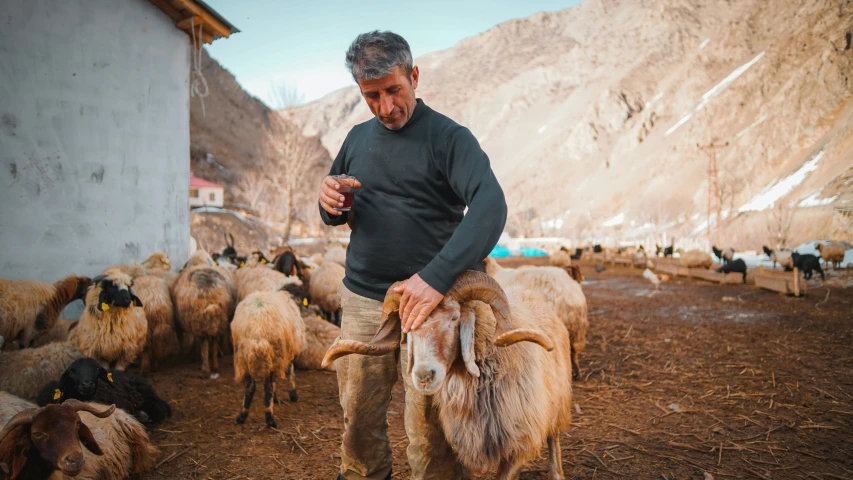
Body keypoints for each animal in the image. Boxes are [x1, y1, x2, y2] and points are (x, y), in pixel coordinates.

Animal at [171, 248, 235, 378]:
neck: (198, 262)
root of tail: (210, 294)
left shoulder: (179, 320)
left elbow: (183, 340)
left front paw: (187, 356)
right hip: (219, 320)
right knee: (214, 341)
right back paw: (215, 366)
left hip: (199, 320)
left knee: (203, 343)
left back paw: (205, 370)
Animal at [231, 284, 304, 428]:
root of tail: (258, 328)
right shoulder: (288, 352)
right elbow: (291, 373)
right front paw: (293, 395)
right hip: (275, 352)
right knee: (267, 386)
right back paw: (270, 419)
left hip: (244, 355)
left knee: (250, 385)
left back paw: (242, 415)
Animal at [322, 272, 576, 478]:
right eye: (406, 326)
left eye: (455, 318)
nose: (424, 376)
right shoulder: (463, 446)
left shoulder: (519, 445)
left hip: (557, 400)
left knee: (554, 436)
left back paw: (557, 473)